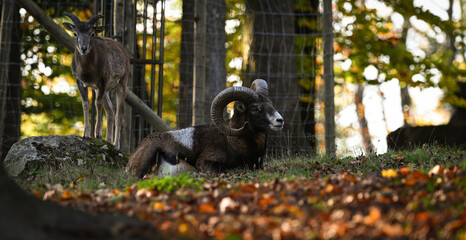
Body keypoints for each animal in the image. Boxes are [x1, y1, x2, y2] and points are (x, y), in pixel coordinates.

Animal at [62, 13, 129, 148]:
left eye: (92, 34)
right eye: (75, 33)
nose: (83, 48)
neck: (88, 72)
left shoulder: (102, 80)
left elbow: (98, 104)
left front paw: (97, 134)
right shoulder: (80, 82)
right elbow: (86, 103)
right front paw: (85, 134)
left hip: (122, 83)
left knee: (118, 114)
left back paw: (116, 145)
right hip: (105, 90)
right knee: (110, 111)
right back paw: (108, 140)